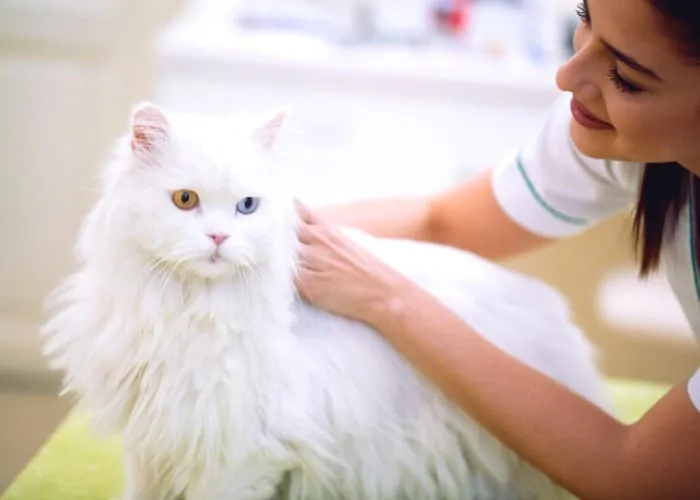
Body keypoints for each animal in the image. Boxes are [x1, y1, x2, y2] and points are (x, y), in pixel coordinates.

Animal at [42, 102, 612, 500]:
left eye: (247, 206)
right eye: (186, 200)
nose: (220, 238)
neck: (187, 310)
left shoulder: (241, 453)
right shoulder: (156, 440)